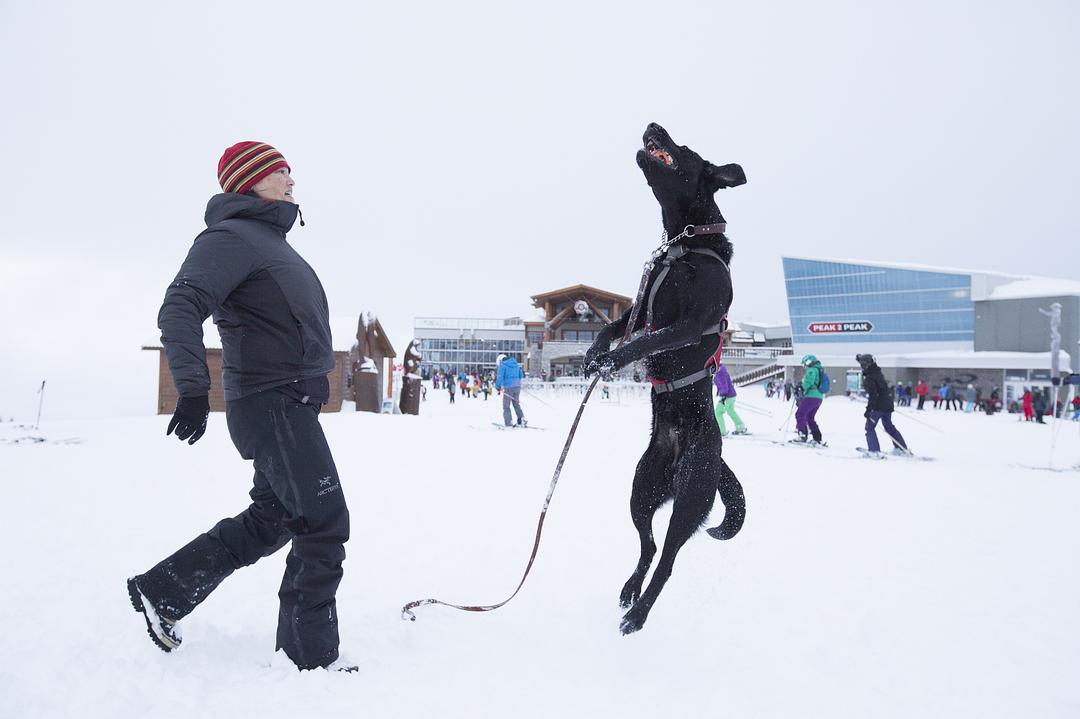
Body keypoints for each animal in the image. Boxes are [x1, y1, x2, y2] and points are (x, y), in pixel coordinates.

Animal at [587, 123, 747, 634]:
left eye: (686, 149)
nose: (653, 126)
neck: (683, 245)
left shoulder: (689, 323)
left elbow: (642, 342)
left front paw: (610, 364)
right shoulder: (638, 312)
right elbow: (612, 328)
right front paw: (593, 355)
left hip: (691, 496)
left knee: (668, 558)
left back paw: (638, 615)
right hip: (640, 492)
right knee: (649, 545)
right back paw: (629, 590)